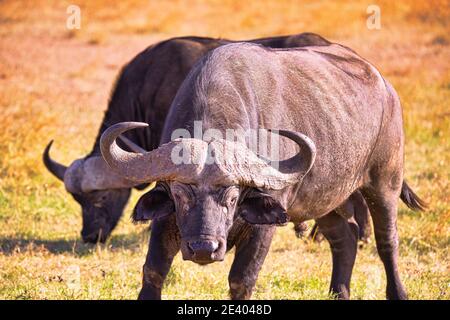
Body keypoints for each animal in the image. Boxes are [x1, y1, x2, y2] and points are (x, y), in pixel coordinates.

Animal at [101, 42, 426, 300]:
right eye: (180, 196)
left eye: (233, 198)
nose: (204, 247)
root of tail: (385, 87)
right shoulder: (165, 219)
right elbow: (153, 271)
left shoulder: (264, 227)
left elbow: (241, 280)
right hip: (326, 199)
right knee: (345, 238)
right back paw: (339, 293)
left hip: (384, 182)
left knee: (387, 241)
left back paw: (398, 292)